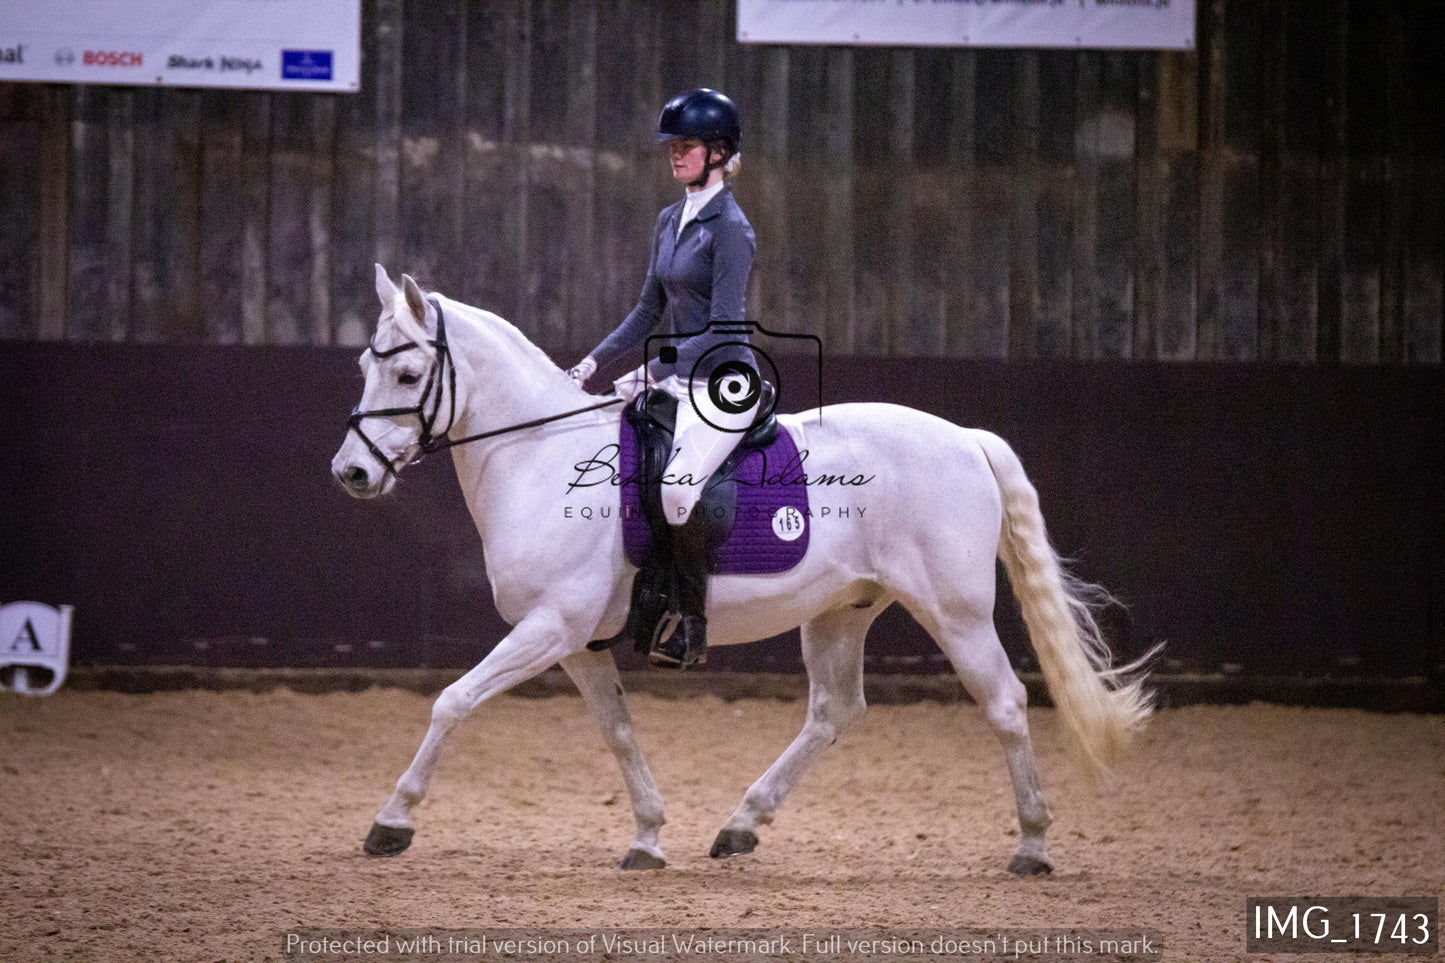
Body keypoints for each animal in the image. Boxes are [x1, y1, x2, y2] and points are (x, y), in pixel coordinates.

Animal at [328, 266, 1150, 873]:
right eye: (365, 364)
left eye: (408, 373)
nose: (351, 474)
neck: (539, 456)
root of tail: (966, 437)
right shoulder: (575, 641)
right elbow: (618, 731)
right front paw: (647, 836)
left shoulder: (547, 626)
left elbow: (452, 701)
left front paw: (392, 821)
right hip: (841, 610)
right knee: (834, 711)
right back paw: (740, 826)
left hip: (956, 613)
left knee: (1006, 703)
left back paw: (1032, 844)